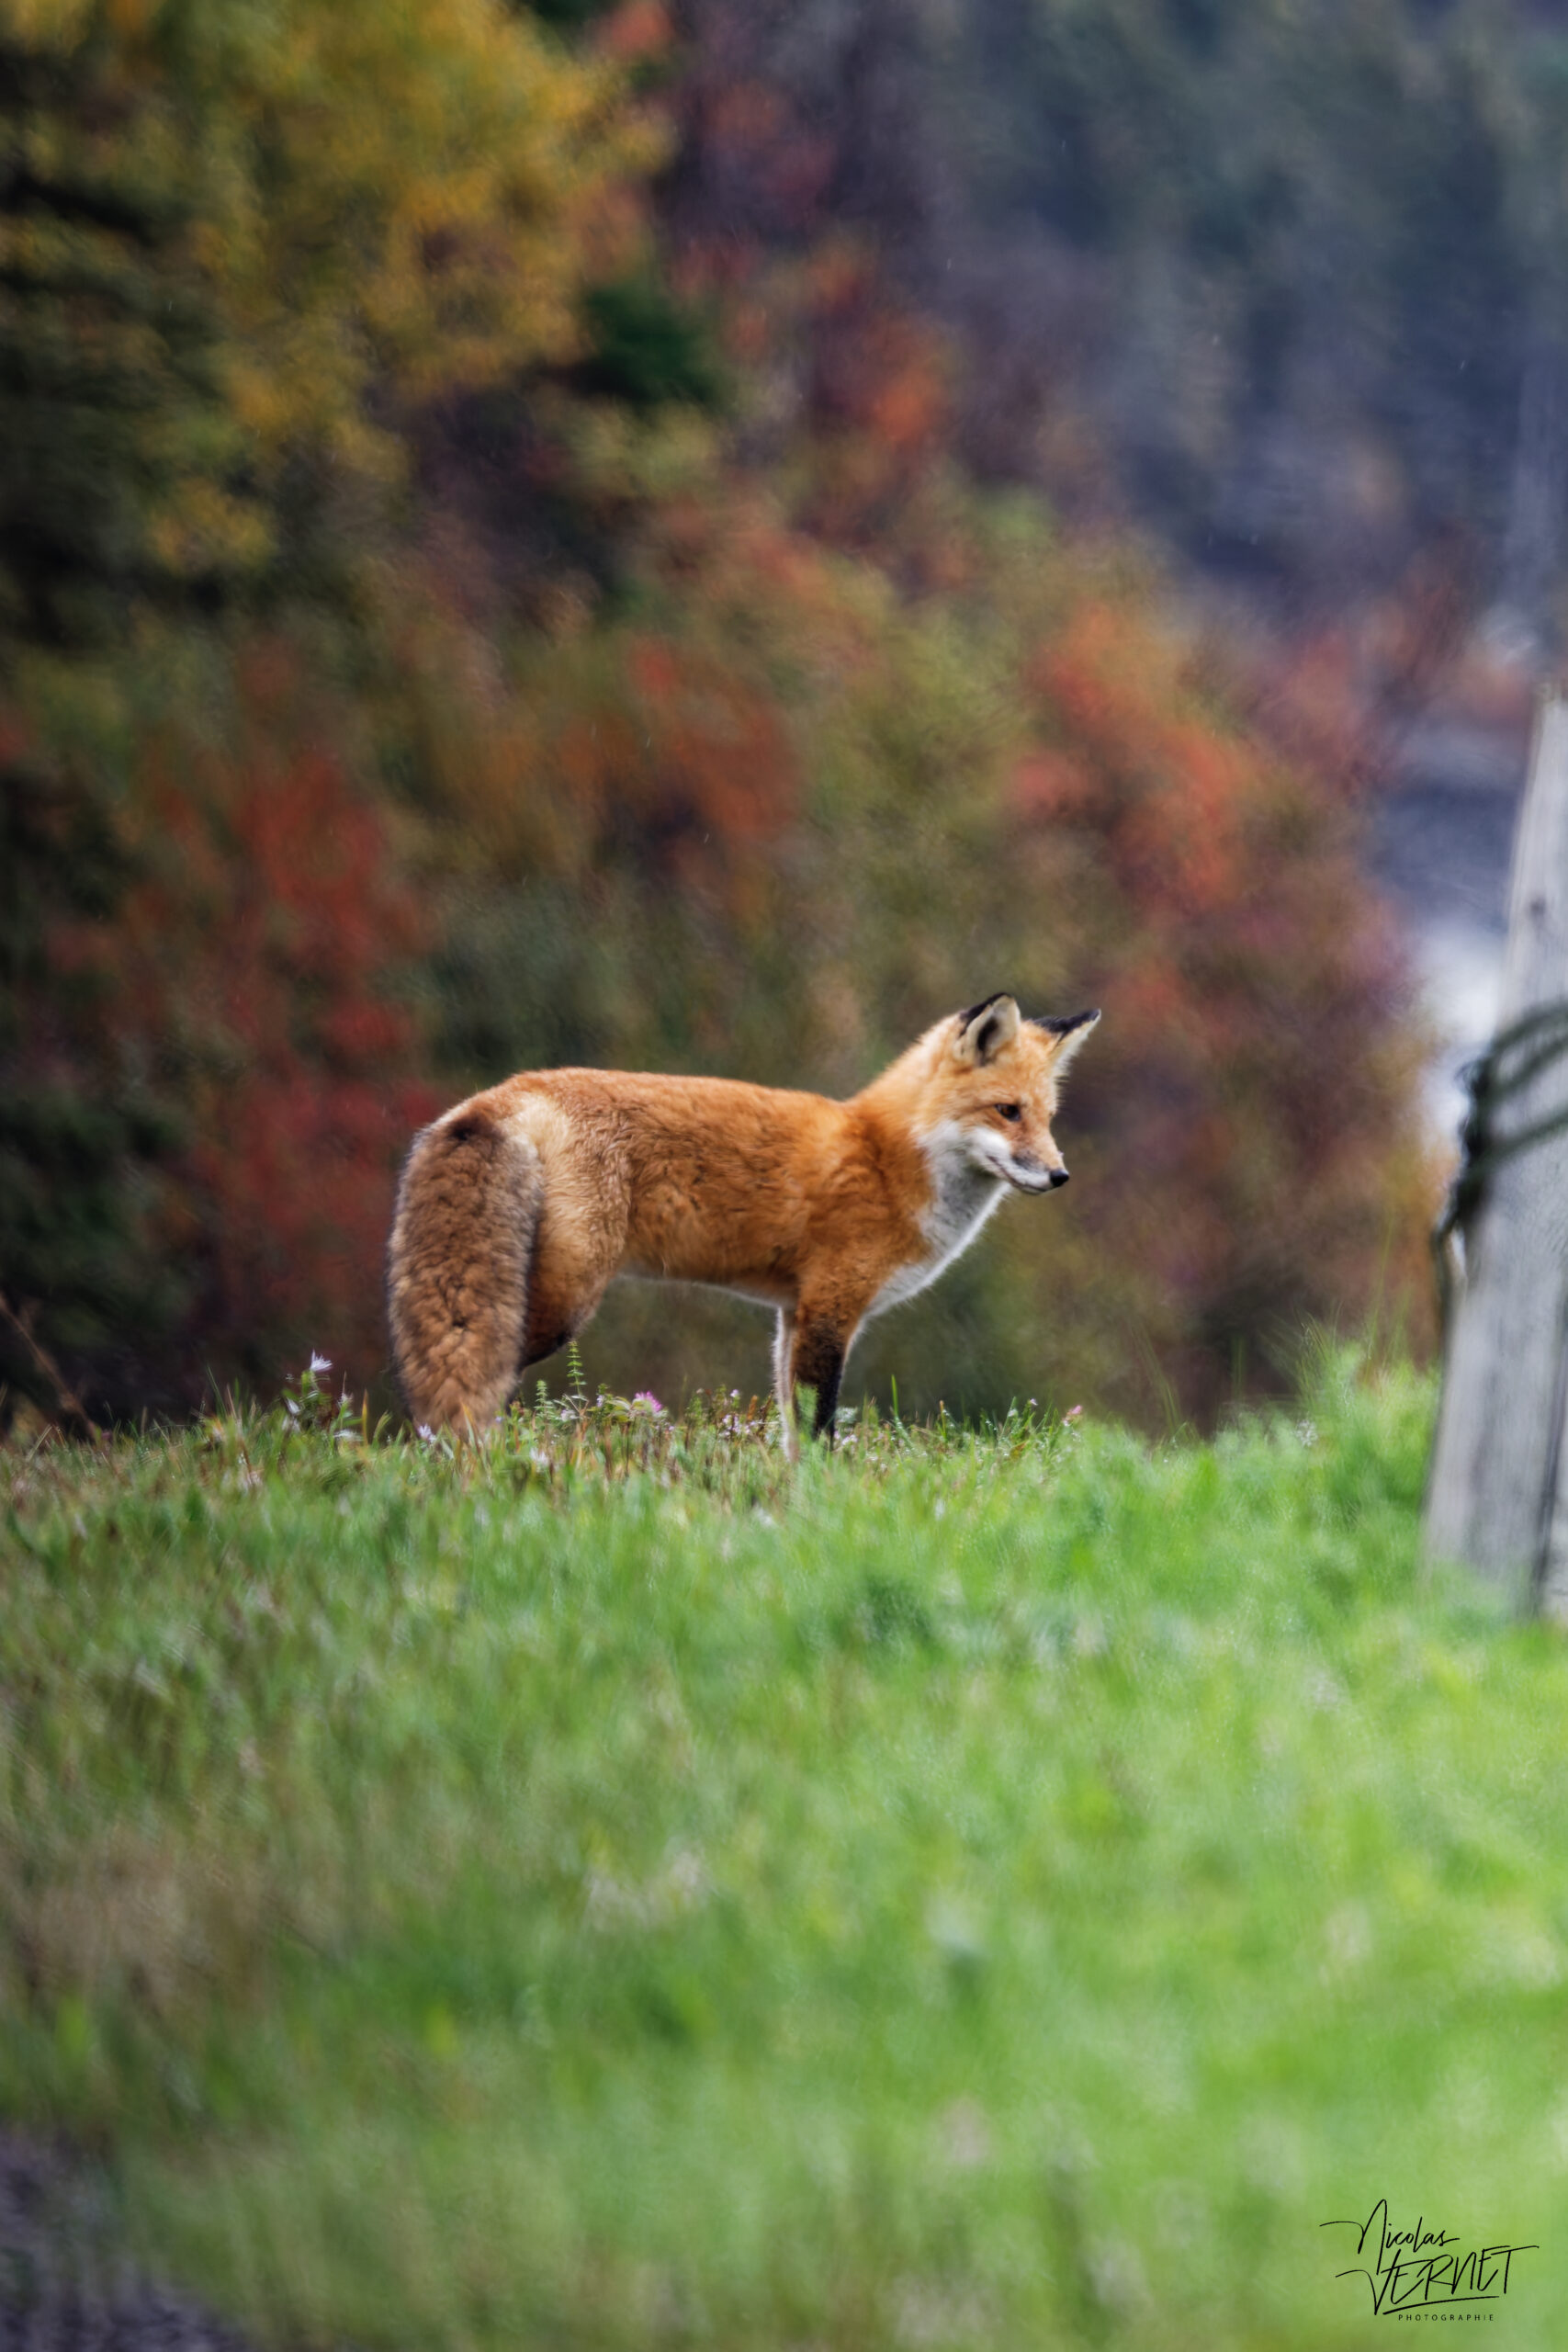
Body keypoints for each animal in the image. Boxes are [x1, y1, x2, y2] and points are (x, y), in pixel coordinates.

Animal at [386, 993, 1099, 1451]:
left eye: (1047, 1118)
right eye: (1007, 1111)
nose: (1060, 1176)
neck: (887, 1160)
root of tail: (503, 1093)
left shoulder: (791, 1315)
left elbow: (789, 1431)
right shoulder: (830, 1309)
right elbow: (818, 1432)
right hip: (559, 1302)